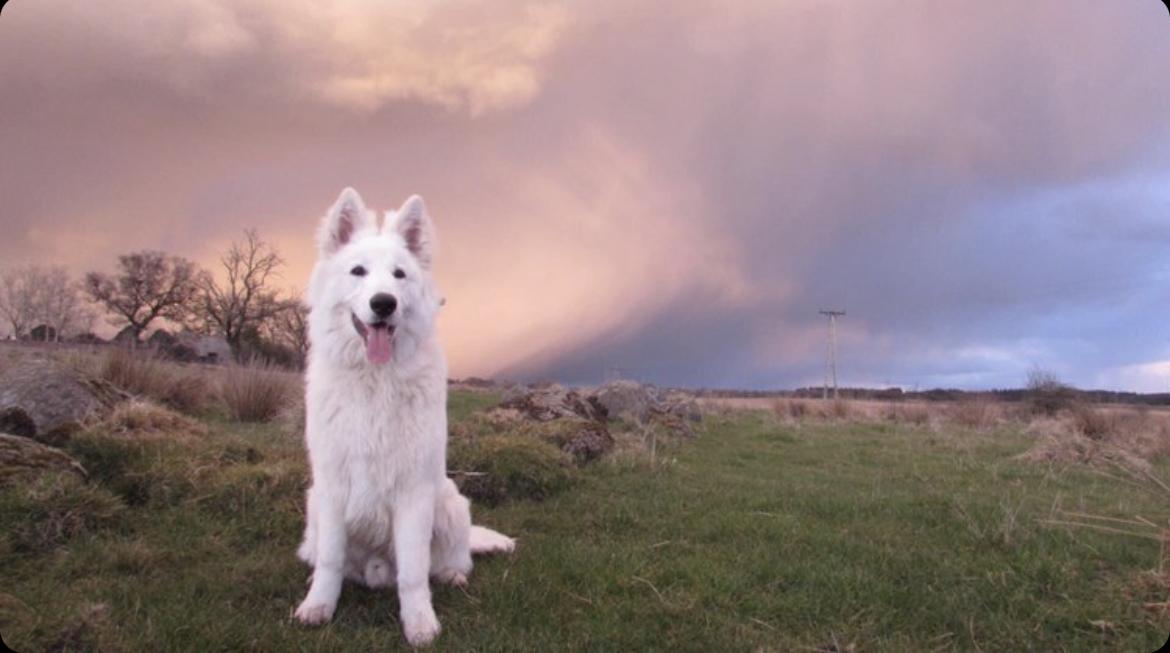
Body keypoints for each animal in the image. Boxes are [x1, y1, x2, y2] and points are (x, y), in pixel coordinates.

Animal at [297, 187, 512, 645]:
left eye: (399, 275)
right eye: (358, 271)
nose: (383, 303)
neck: (374, 380)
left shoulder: (413, 492)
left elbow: (414, 572)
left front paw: (419, 623)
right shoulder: (332, 486)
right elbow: (330, 561)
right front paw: (318, 606)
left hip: (449, 501)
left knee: (451, 559)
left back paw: (453, 575)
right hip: (314, 504)